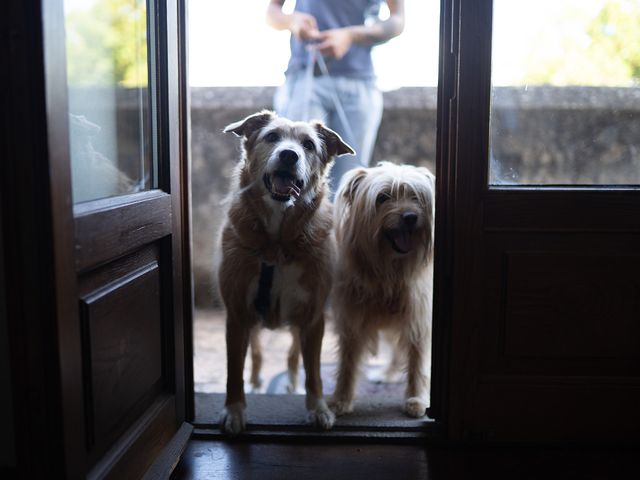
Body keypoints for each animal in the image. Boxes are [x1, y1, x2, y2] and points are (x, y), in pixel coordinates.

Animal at [218, 110, 352, 434]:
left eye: (308, 145)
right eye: (272, 137)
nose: (289, 155)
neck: (276, 244)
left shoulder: (313, 317)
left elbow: (313, 370)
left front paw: (318, 408)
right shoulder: (237, 314)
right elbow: (234, 369)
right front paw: (235, 410)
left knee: (293, 352)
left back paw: (291, 380)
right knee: (255, 350)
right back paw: (256, 381)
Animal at [330, 161, 436, 416]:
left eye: (416, 197)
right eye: (382, 197)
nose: (410, 217)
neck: (389, 271)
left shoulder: (419, 318)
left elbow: (417, 360)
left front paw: (417, 399)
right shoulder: (351, 319)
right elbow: (347, 362)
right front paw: (341, 399)